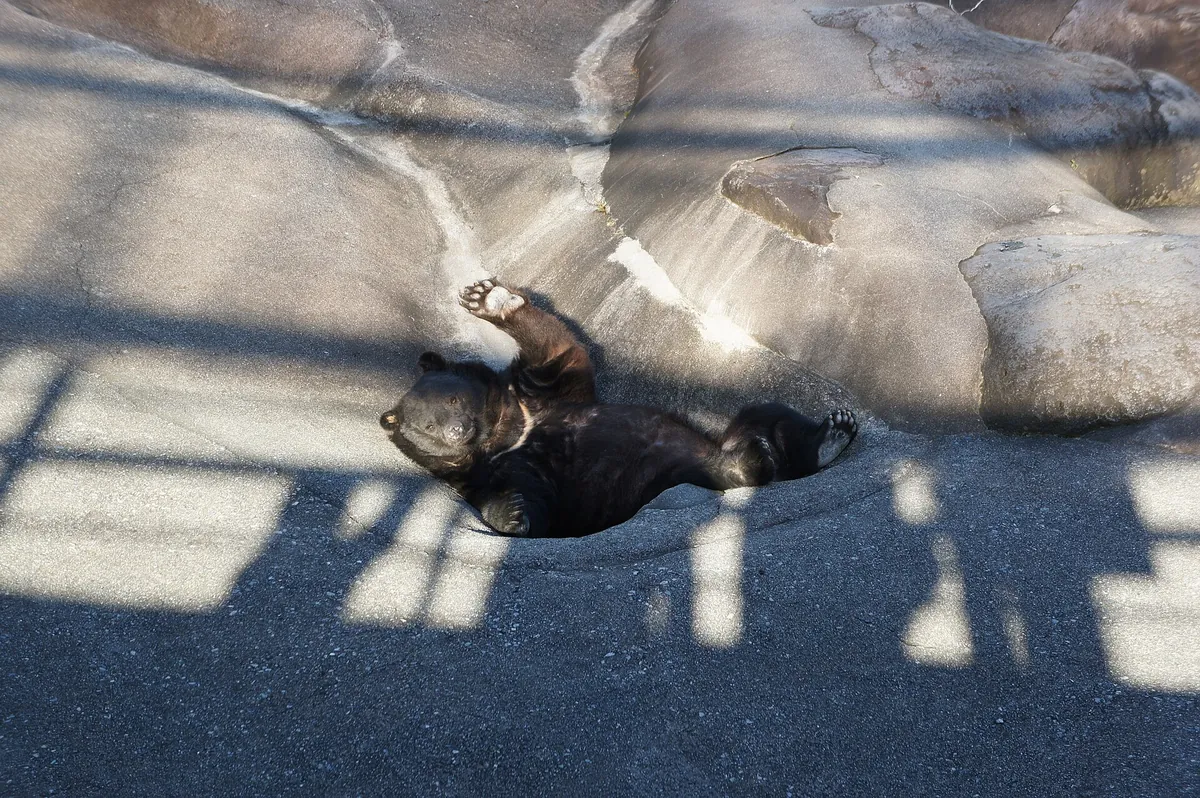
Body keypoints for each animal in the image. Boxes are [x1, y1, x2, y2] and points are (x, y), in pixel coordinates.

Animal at [380, 279, 858, 537]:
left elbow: (560, 350)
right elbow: (517, 493)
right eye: (427, 426)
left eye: (453, 400)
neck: (507, 430)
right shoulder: (493, 469)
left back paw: (832, 433)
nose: (459, 431)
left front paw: (488, 297)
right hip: (661, 478)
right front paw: (513, 517)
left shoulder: (543, 394)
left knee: (771, 417)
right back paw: (763, 459)